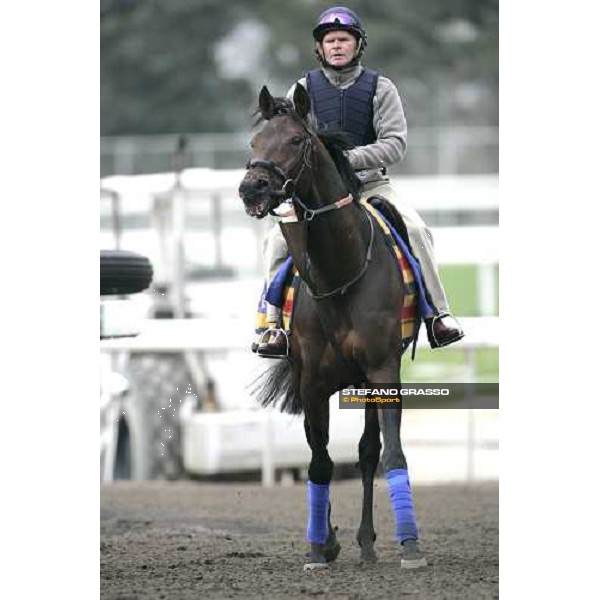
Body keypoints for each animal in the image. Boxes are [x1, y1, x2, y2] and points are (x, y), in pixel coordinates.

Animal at [239, 84, 426, 572]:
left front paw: (409, 545)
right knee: (318, 448)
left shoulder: (383, 371)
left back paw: (365, 541)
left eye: (296, 140)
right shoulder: (312, 381)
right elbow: (318, 460)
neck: (339, 272)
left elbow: (387, 452)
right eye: (254, 142)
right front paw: (317, 548)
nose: (251, 188)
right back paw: (330, 539)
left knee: (366, 452)